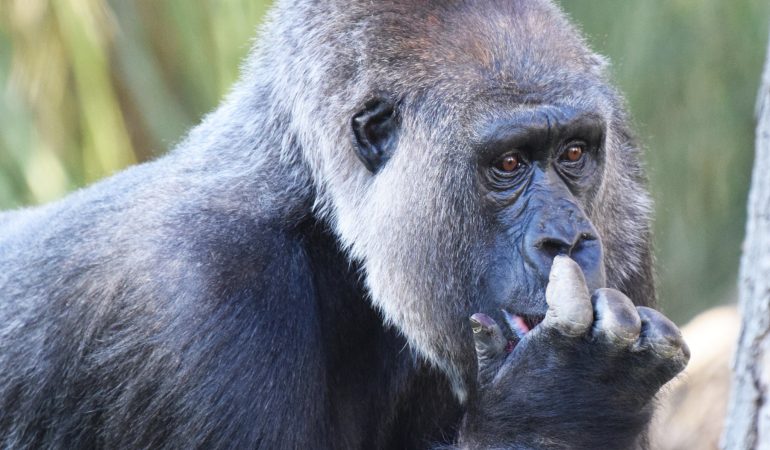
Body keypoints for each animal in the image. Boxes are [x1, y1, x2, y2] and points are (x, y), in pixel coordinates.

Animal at [0, 0, 688, 448]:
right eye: (510, 163)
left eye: (574, 153)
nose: (568, 239)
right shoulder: (202, 289)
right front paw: (565, 397)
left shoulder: (625, 214)